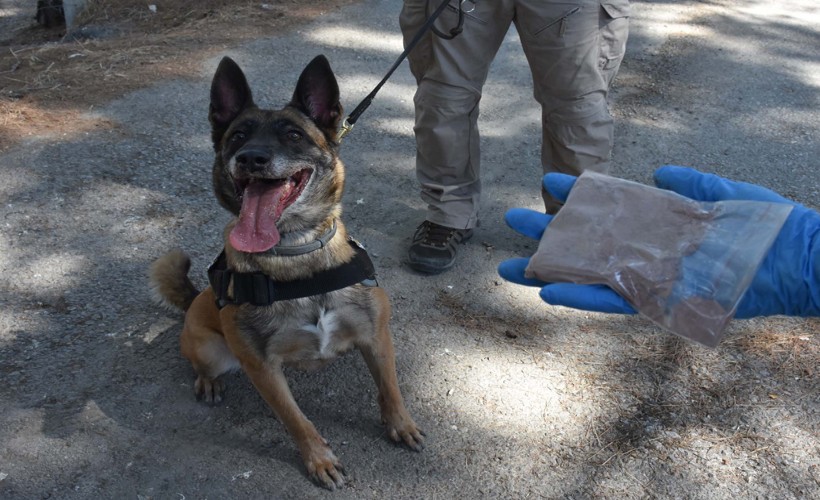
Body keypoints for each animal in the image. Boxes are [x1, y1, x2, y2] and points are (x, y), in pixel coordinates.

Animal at [148, 54, 426, 488]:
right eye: (237, 136)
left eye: (294, 135)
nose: (251, 158)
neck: (295, 251)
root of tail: (195, 301)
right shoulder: (262, 367)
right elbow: (297, 420)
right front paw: (319, 460)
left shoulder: (377, 337)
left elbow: (391, 389)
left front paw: (401, 425)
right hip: (211, 350)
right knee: (202, 364)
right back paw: (208, 381)